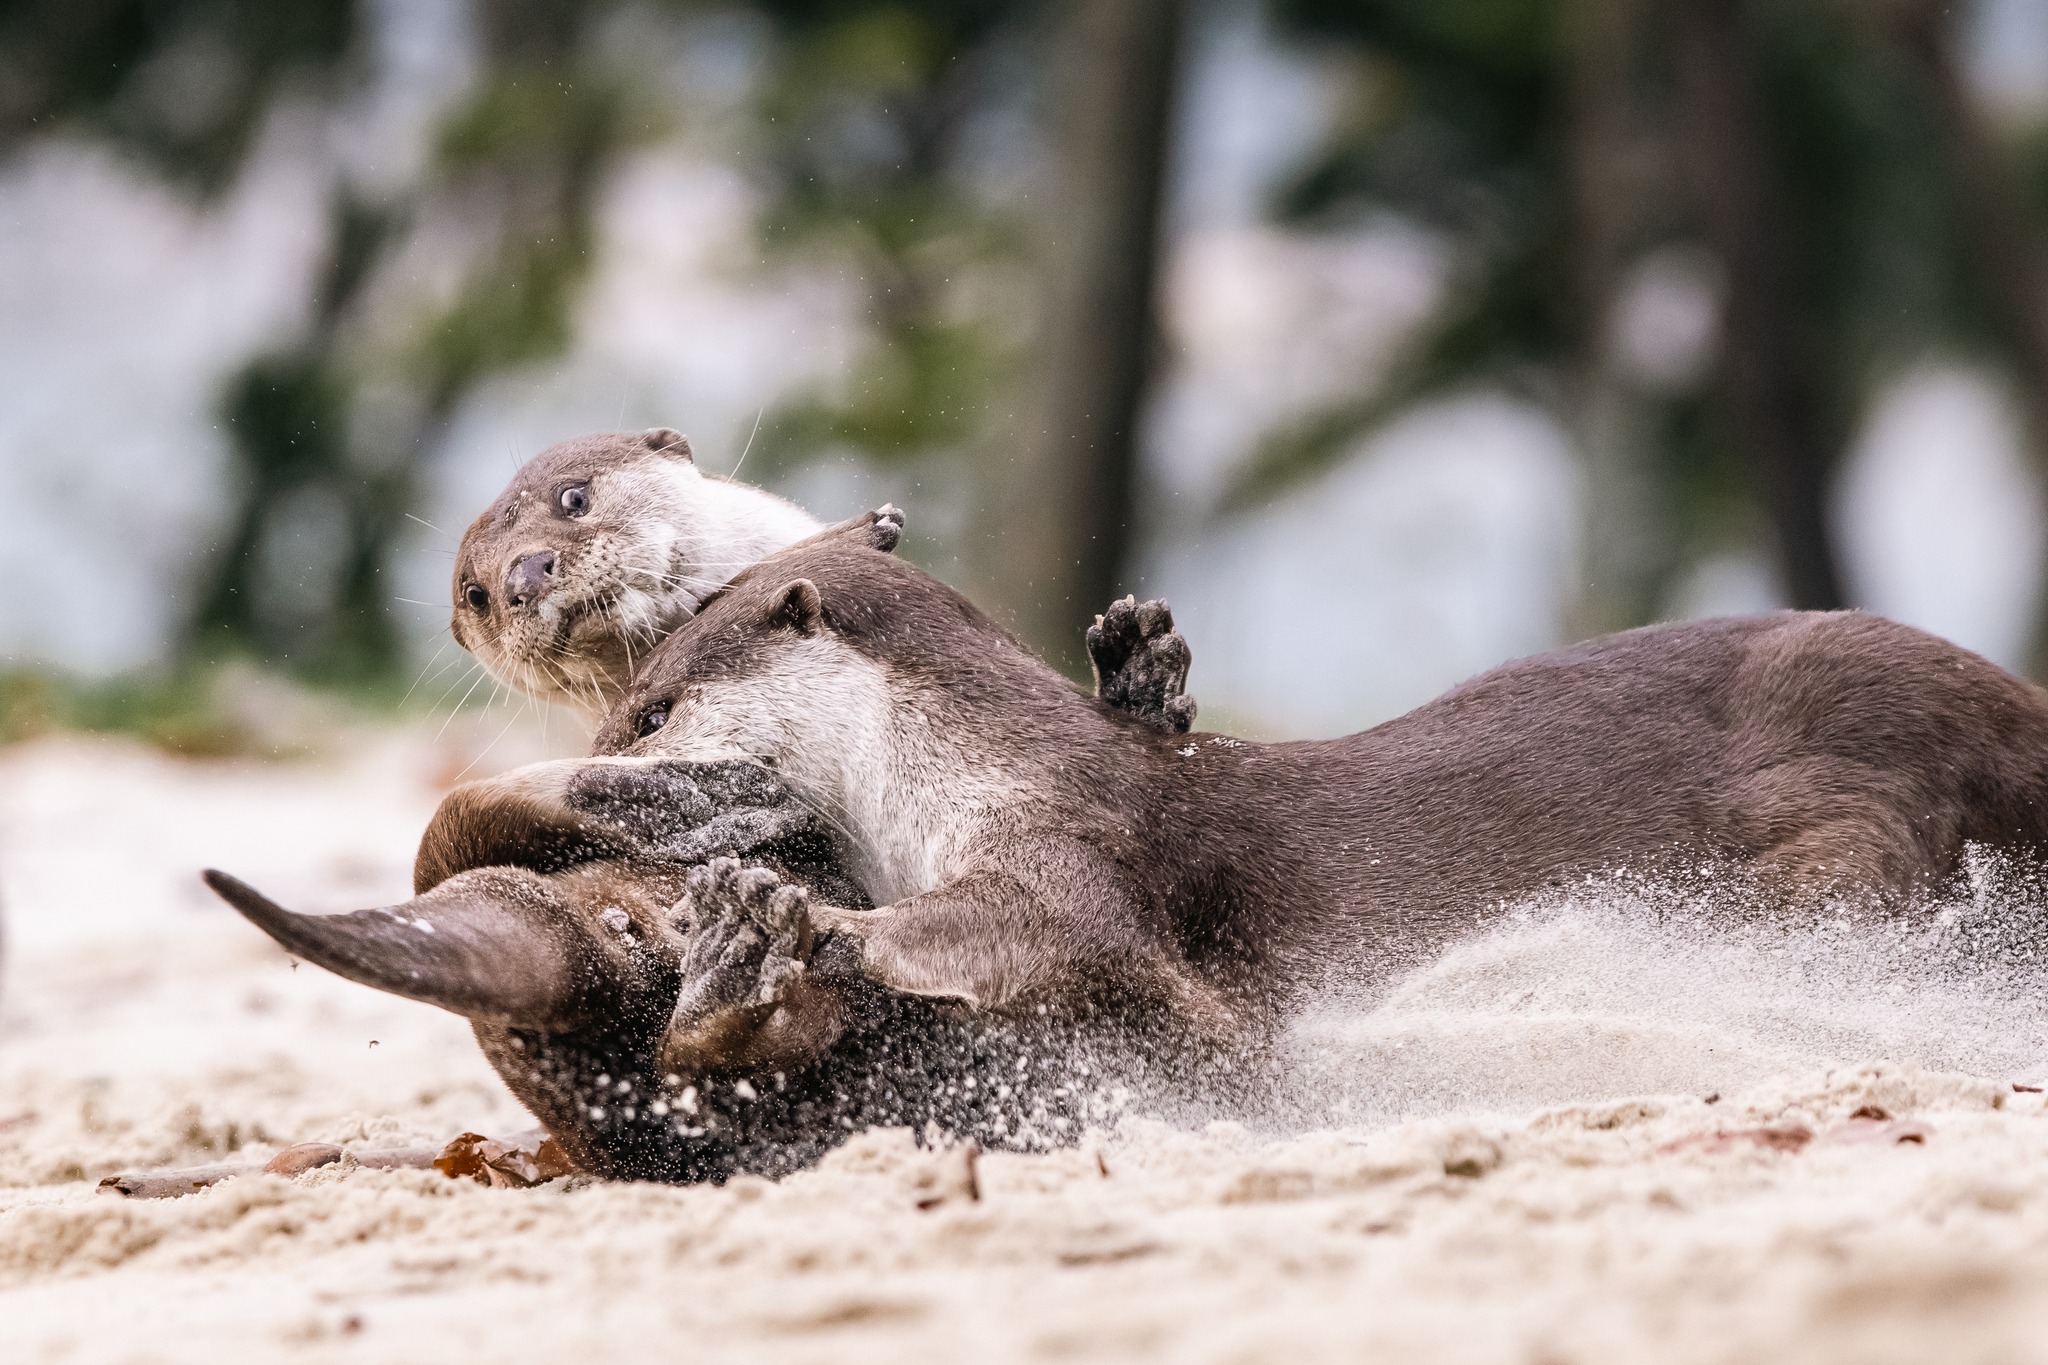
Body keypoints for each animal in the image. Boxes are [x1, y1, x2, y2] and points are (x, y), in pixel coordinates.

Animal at [209, 535, 2048, 1181]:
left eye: (658, 702)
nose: (622, 751)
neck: (960, 776)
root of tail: (2008, 715)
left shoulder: (1072, 864)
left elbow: (1024, 936)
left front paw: (811, 930)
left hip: (1830, 808)